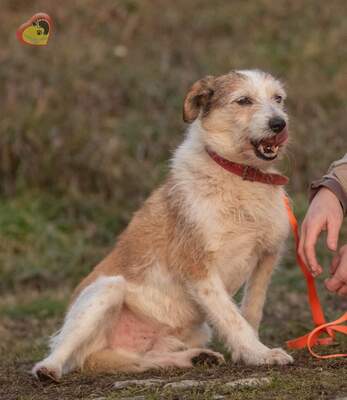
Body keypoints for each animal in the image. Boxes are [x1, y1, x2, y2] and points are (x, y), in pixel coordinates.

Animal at [32, 69, 294, 382]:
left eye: (278, 98)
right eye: (243, 100)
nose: (279, 123)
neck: (241, 176)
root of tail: (98, 354)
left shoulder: (266, 256)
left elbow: (251, 310)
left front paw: (250, 352)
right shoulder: (198, 268)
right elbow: (232, 318)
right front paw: (259, 353)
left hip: (187, 333)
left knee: (140, 360)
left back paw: (195, 357)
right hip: (106, 290)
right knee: (61, 351)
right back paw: (48, 368)